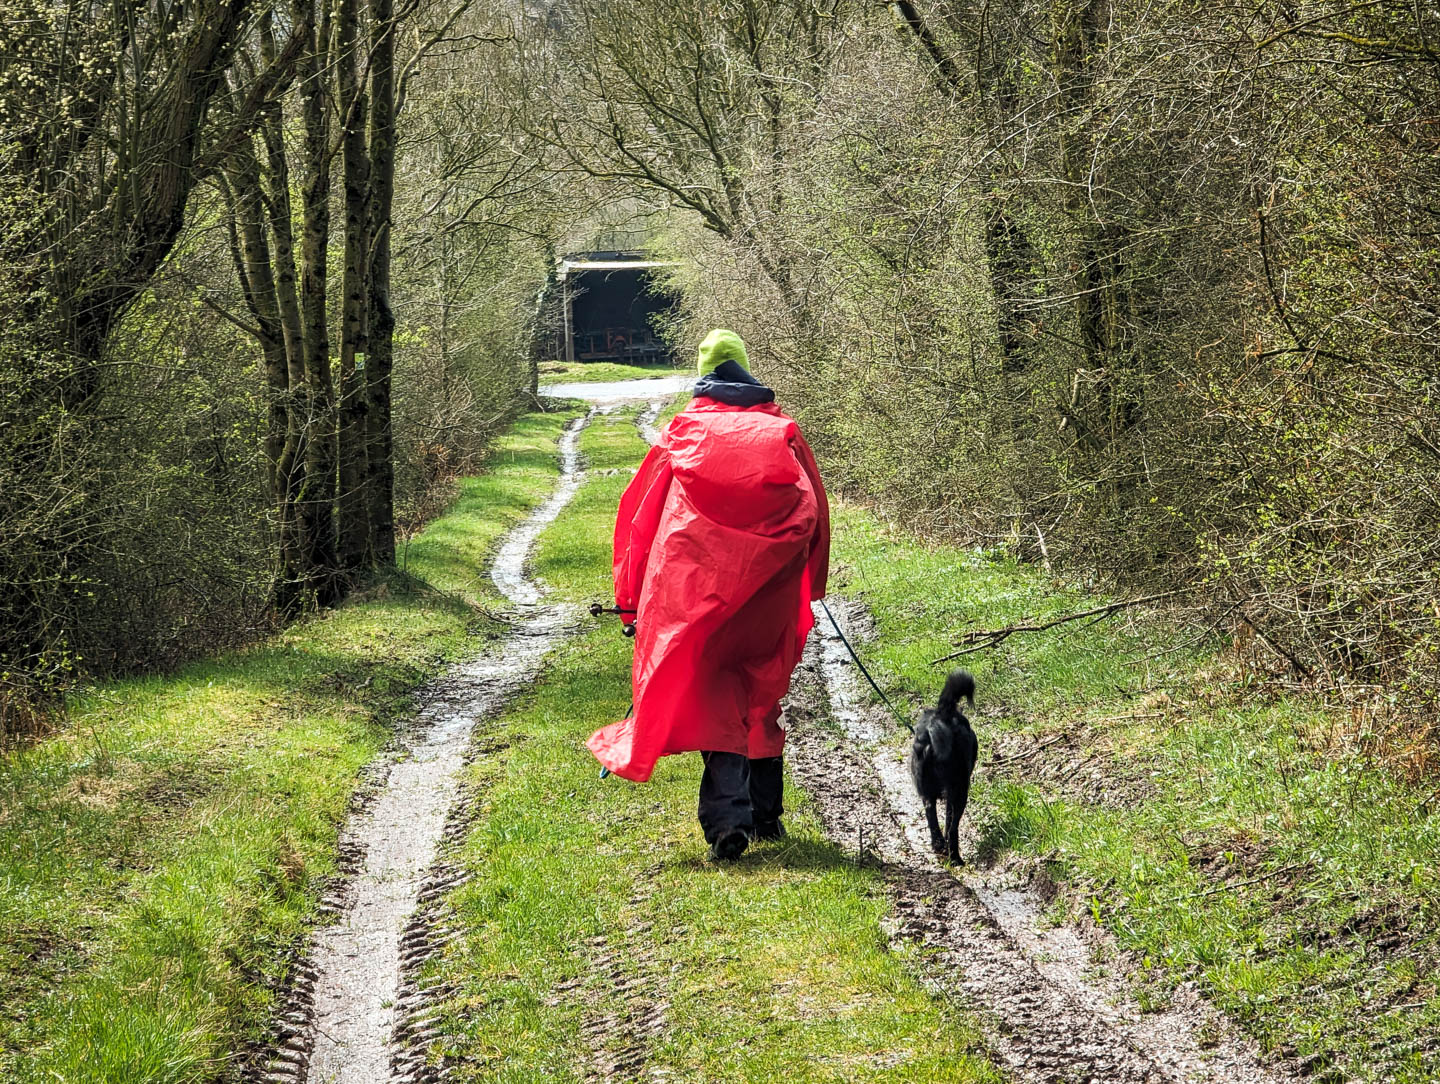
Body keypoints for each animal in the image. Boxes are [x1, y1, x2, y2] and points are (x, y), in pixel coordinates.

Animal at [910, 667, 979, 863]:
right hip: (960, 789)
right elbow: (950, 823)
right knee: (952, 827)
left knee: (931, 815)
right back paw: (955, 858)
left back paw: (938, 846)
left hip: (926, 789)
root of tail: (941, 716)